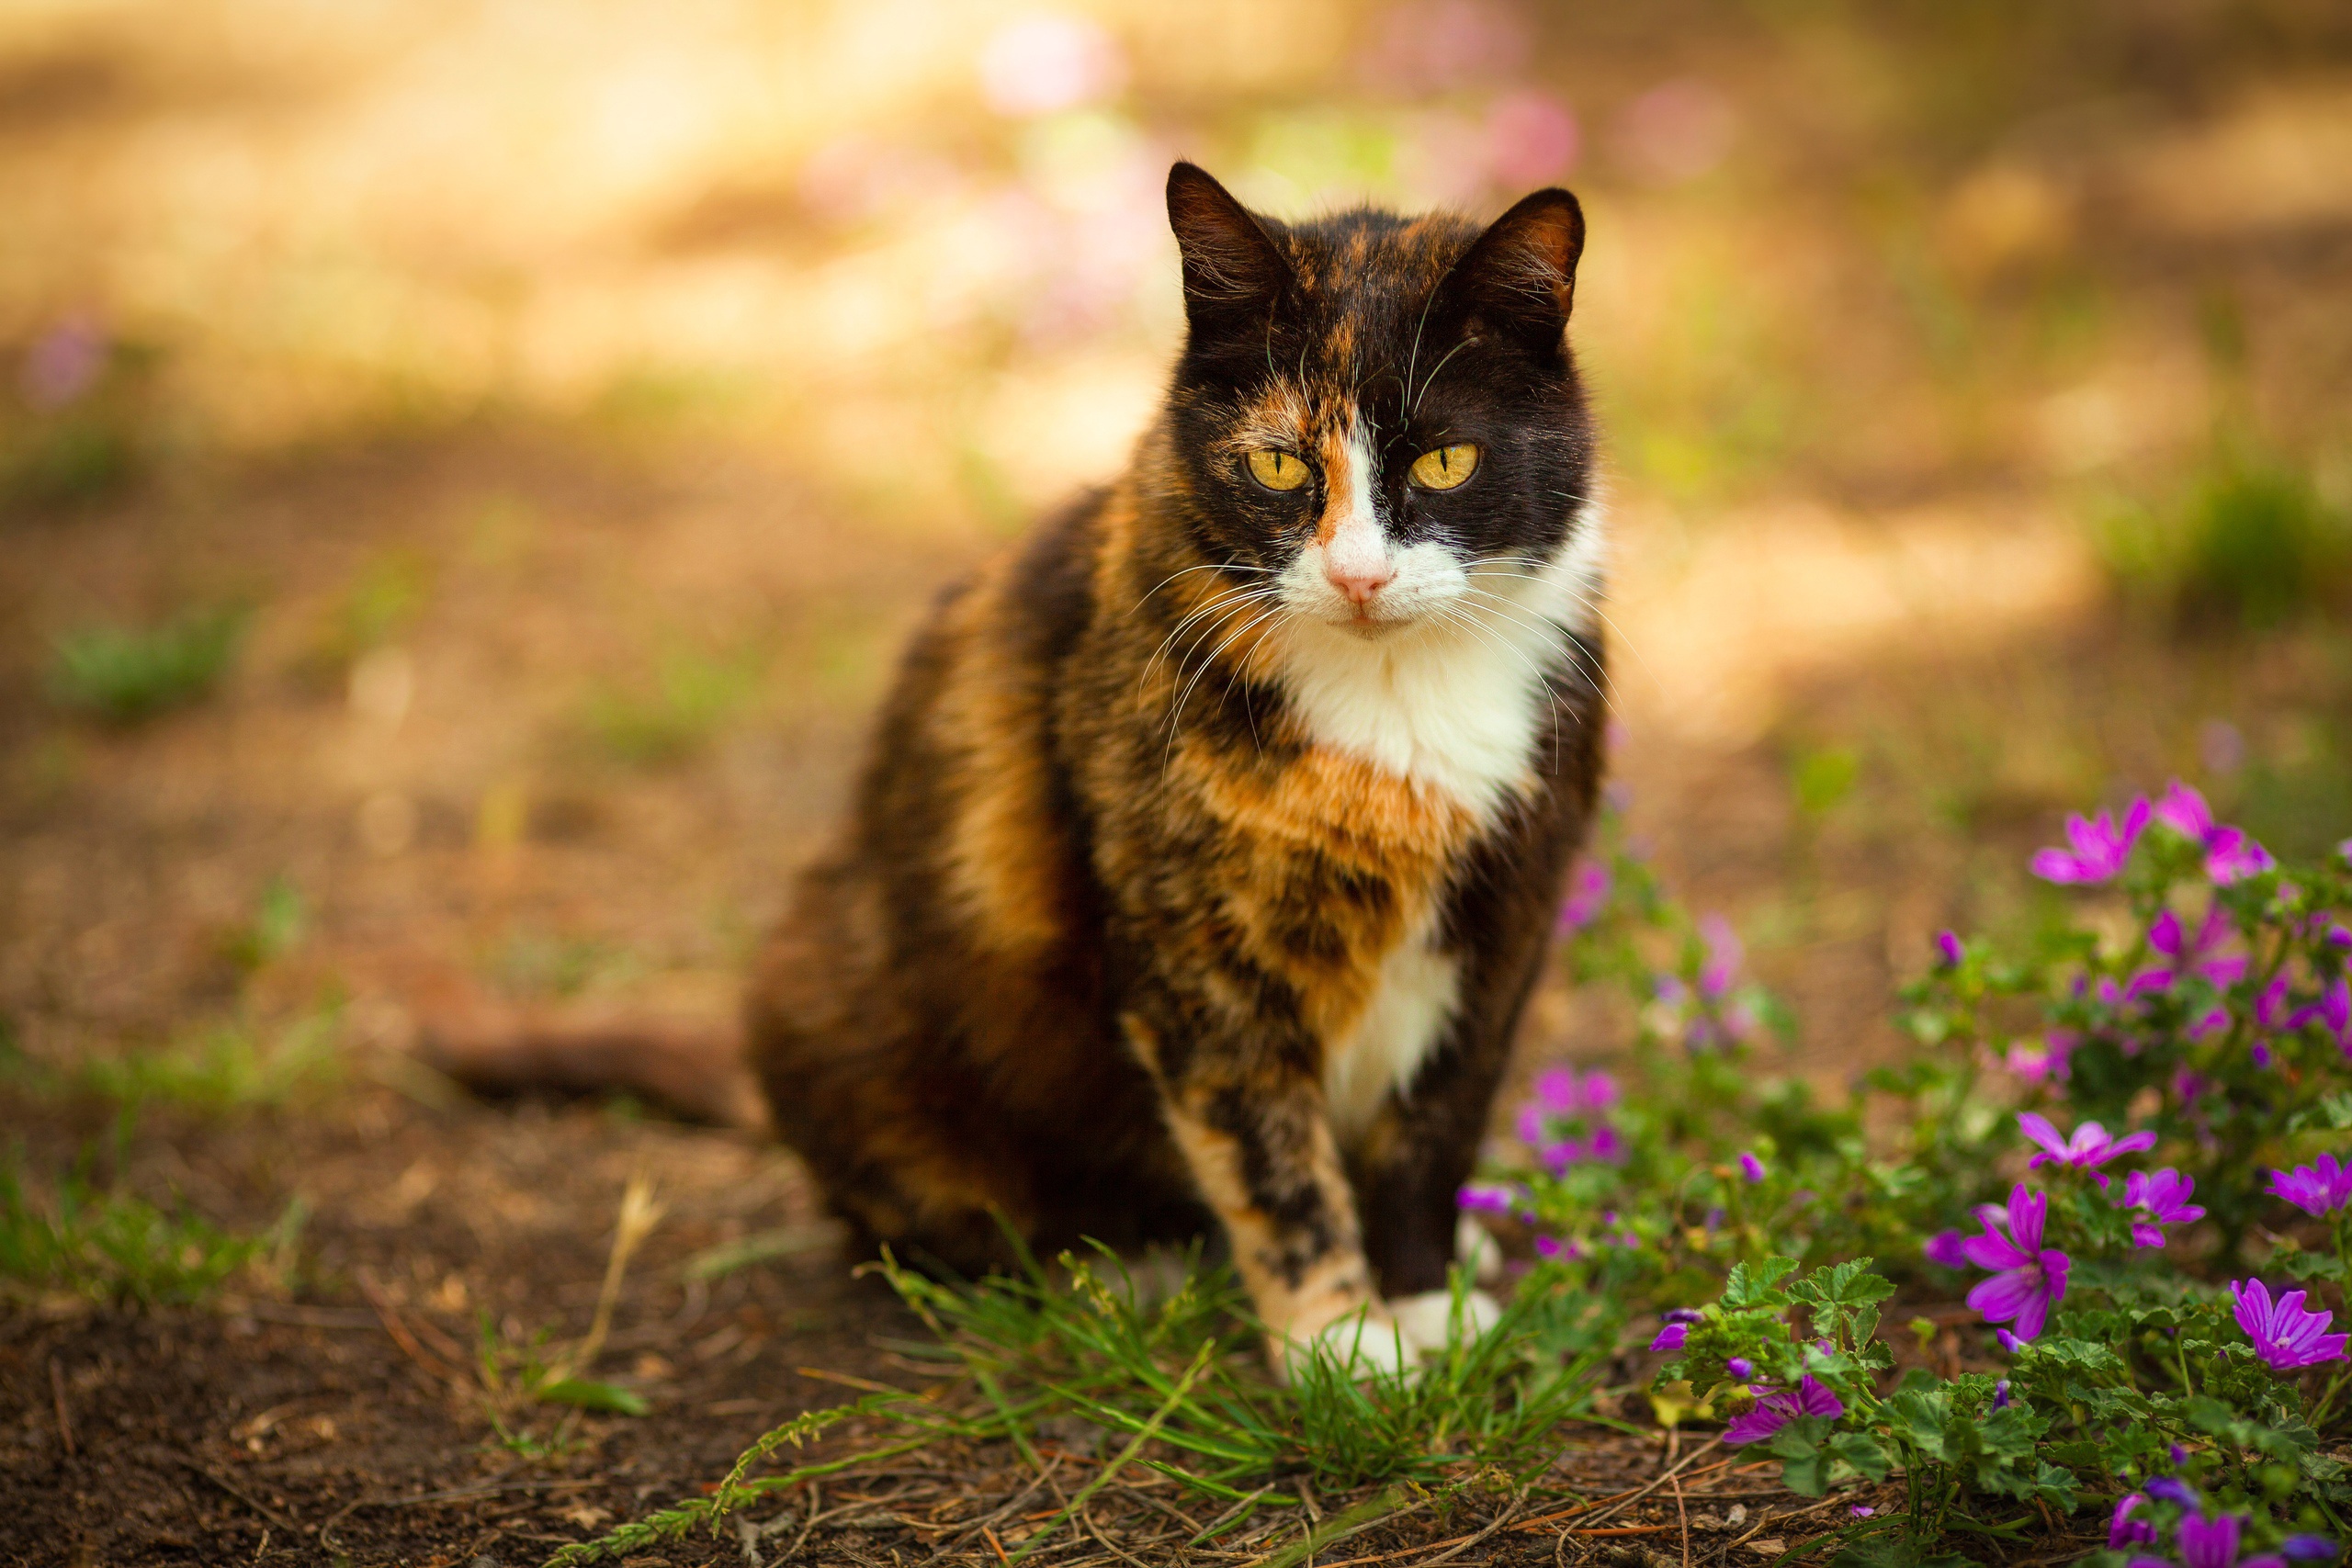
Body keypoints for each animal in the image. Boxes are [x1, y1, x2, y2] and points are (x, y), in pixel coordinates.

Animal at [742, 160, 1609, 1372]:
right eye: (1277, 462)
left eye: (1446, 458)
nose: (1357, 577)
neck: (1397, 698)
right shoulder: (1201, 952)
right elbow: (1269, 1159)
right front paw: (1340, 1343)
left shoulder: (1504, 925)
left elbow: (1434, 1128)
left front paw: (1421, 1296)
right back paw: (1120, 1268)